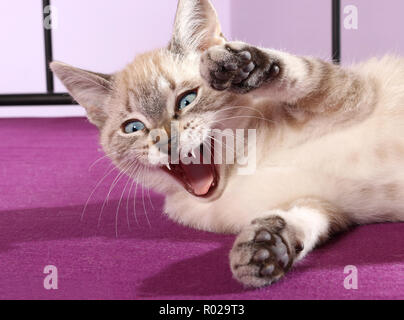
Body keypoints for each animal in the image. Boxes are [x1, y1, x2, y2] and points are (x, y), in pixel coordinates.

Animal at [52, 0, 404, 288]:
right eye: (134, 127)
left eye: (187, 100)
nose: (165, 140)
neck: (240, 173)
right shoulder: (326, 204)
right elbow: (301, 221)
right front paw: (267, 248)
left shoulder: (357, 95)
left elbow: (305, 73)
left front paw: (244, 66)